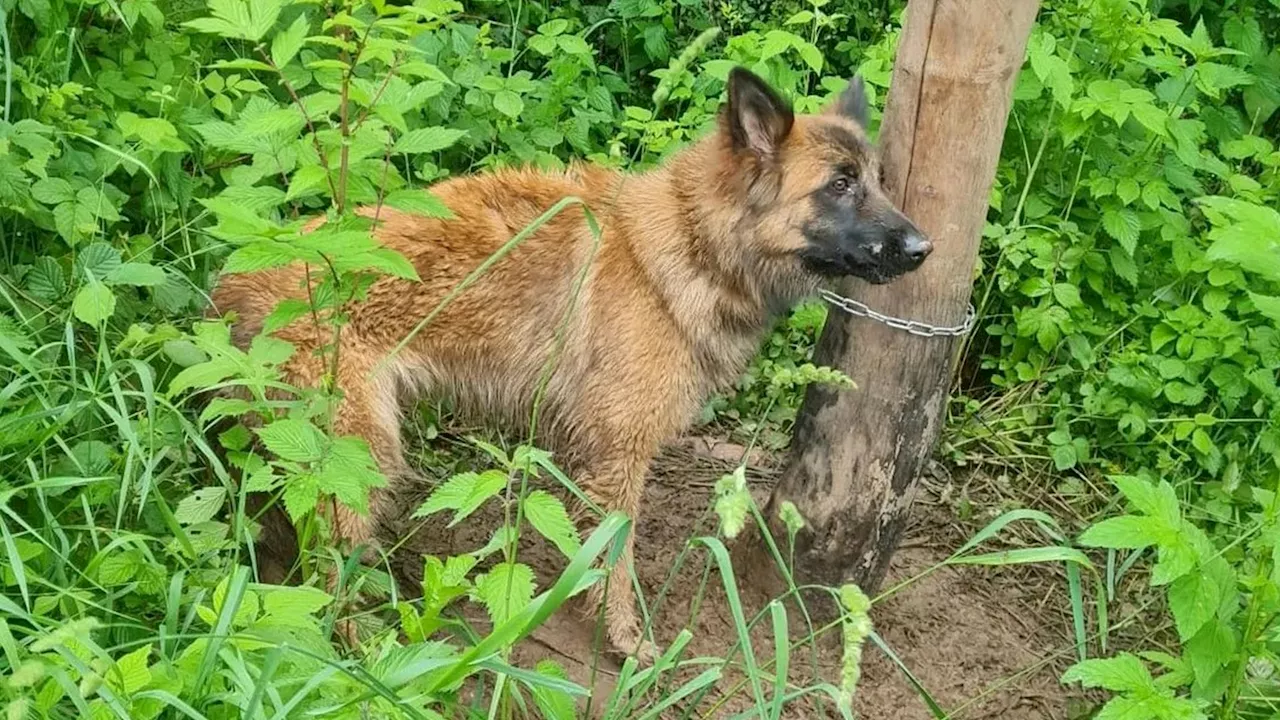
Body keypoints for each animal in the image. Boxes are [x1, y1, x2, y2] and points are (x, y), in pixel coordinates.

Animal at [207, 64, 931, 661]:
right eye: (840, 185)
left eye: (877, 183)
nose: (924, 247)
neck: (688, 245)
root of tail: (231, 283)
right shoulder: (618, 459)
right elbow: (614, 567)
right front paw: (626, 644)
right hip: (356, 467)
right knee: (327, 579)